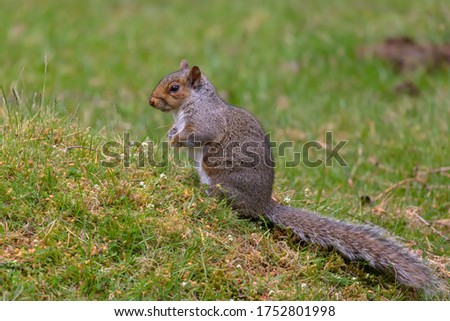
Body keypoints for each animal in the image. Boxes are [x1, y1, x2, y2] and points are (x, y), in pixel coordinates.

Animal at [149, 59, 442, 292]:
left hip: (223, 181)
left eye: (174, 88)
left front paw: (175, 140)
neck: (189, 105)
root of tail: (262, 205)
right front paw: (170, 135)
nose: (151, 101)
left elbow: (198, 135)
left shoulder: (206, 122)